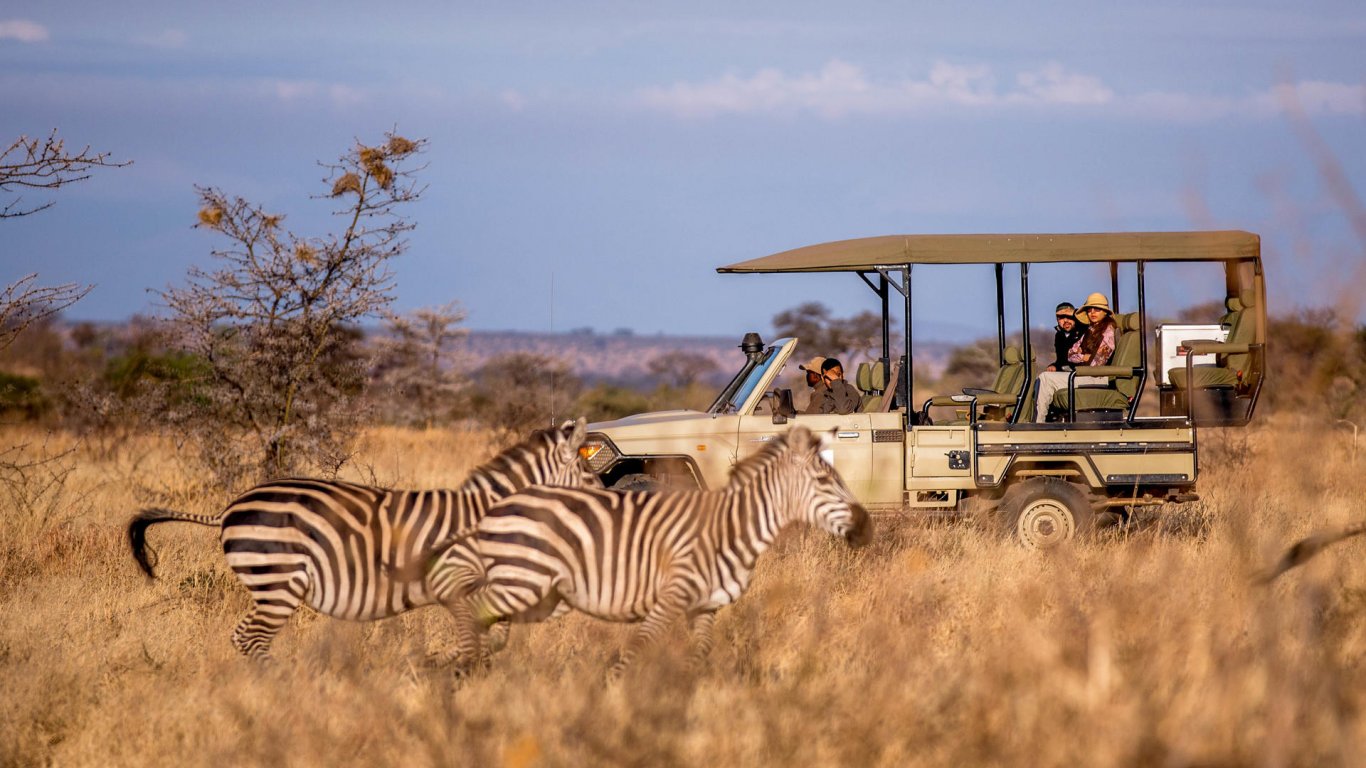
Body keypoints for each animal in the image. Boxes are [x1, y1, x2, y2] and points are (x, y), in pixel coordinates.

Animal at [128, 418, 598, 658]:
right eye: (592, 476)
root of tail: (229, 507)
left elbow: (492, 636)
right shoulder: (458, 583)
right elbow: (477, 638)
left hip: (268, 584)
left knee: (243, 637)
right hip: (278, 580)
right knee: (253, 638)